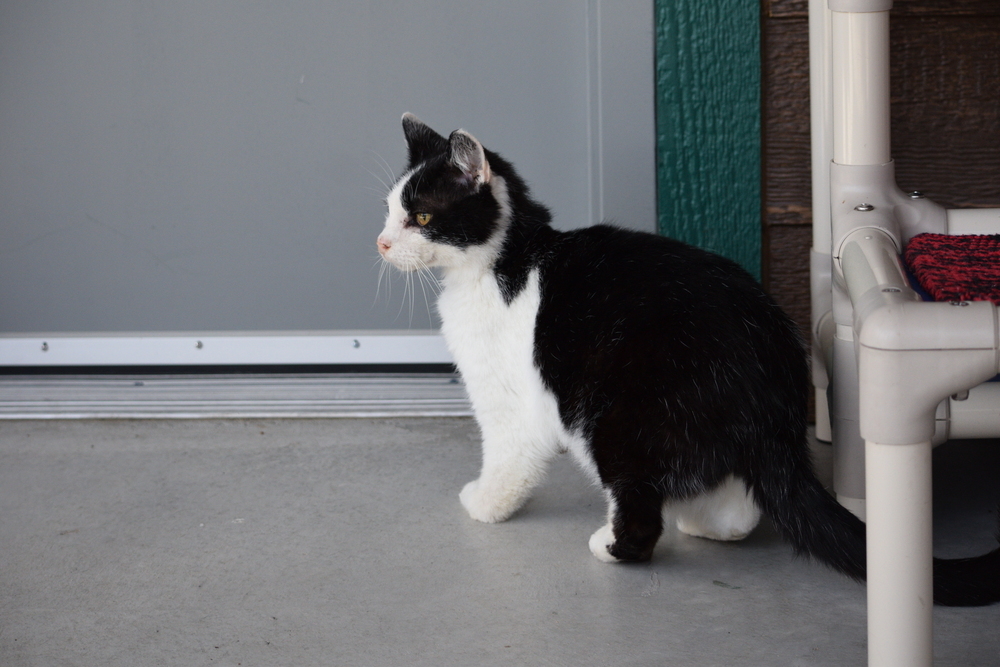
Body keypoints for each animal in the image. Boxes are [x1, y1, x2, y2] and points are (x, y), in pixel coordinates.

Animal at [376, 116, 1000, 612]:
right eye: (388, 211)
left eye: (421, 219)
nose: (380, 243)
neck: (505, 263)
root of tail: (774, 384)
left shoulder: (511, 401)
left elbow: (508, 459)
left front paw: (486, 503)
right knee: (735, 501)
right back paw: (707, 524)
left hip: (617, 415)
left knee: (641, 508)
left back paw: (613, 545)